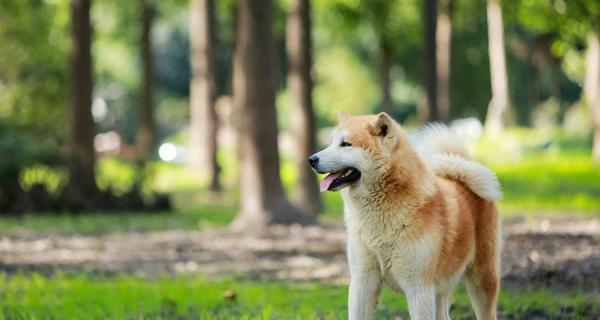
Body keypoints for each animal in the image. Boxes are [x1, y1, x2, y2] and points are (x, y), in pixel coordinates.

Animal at [310, 112, 502, 320]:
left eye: (345, 144)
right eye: (331, 142)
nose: (311, 159)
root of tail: (461, 173)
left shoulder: (419, 288)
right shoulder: (363, 283)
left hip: (481, 281)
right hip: (441, 288)